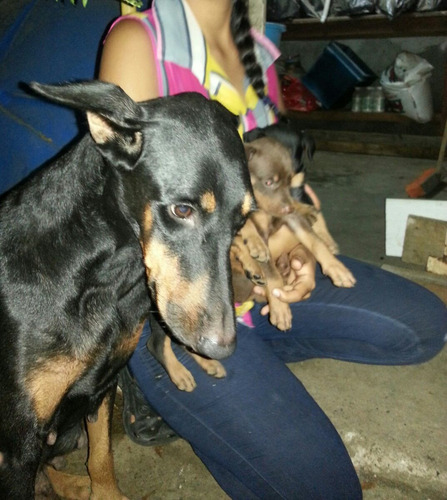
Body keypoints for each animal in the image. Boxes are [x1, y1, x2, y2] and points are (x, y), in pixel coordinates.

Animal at [0, 80, 254, 498]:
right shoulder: (18, 444)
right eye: (182, 210)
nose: (222, 347)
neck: (104, 279)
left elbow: (102, 458)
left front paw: (102, 490)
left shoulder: (100, 390)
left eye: (243, 220)